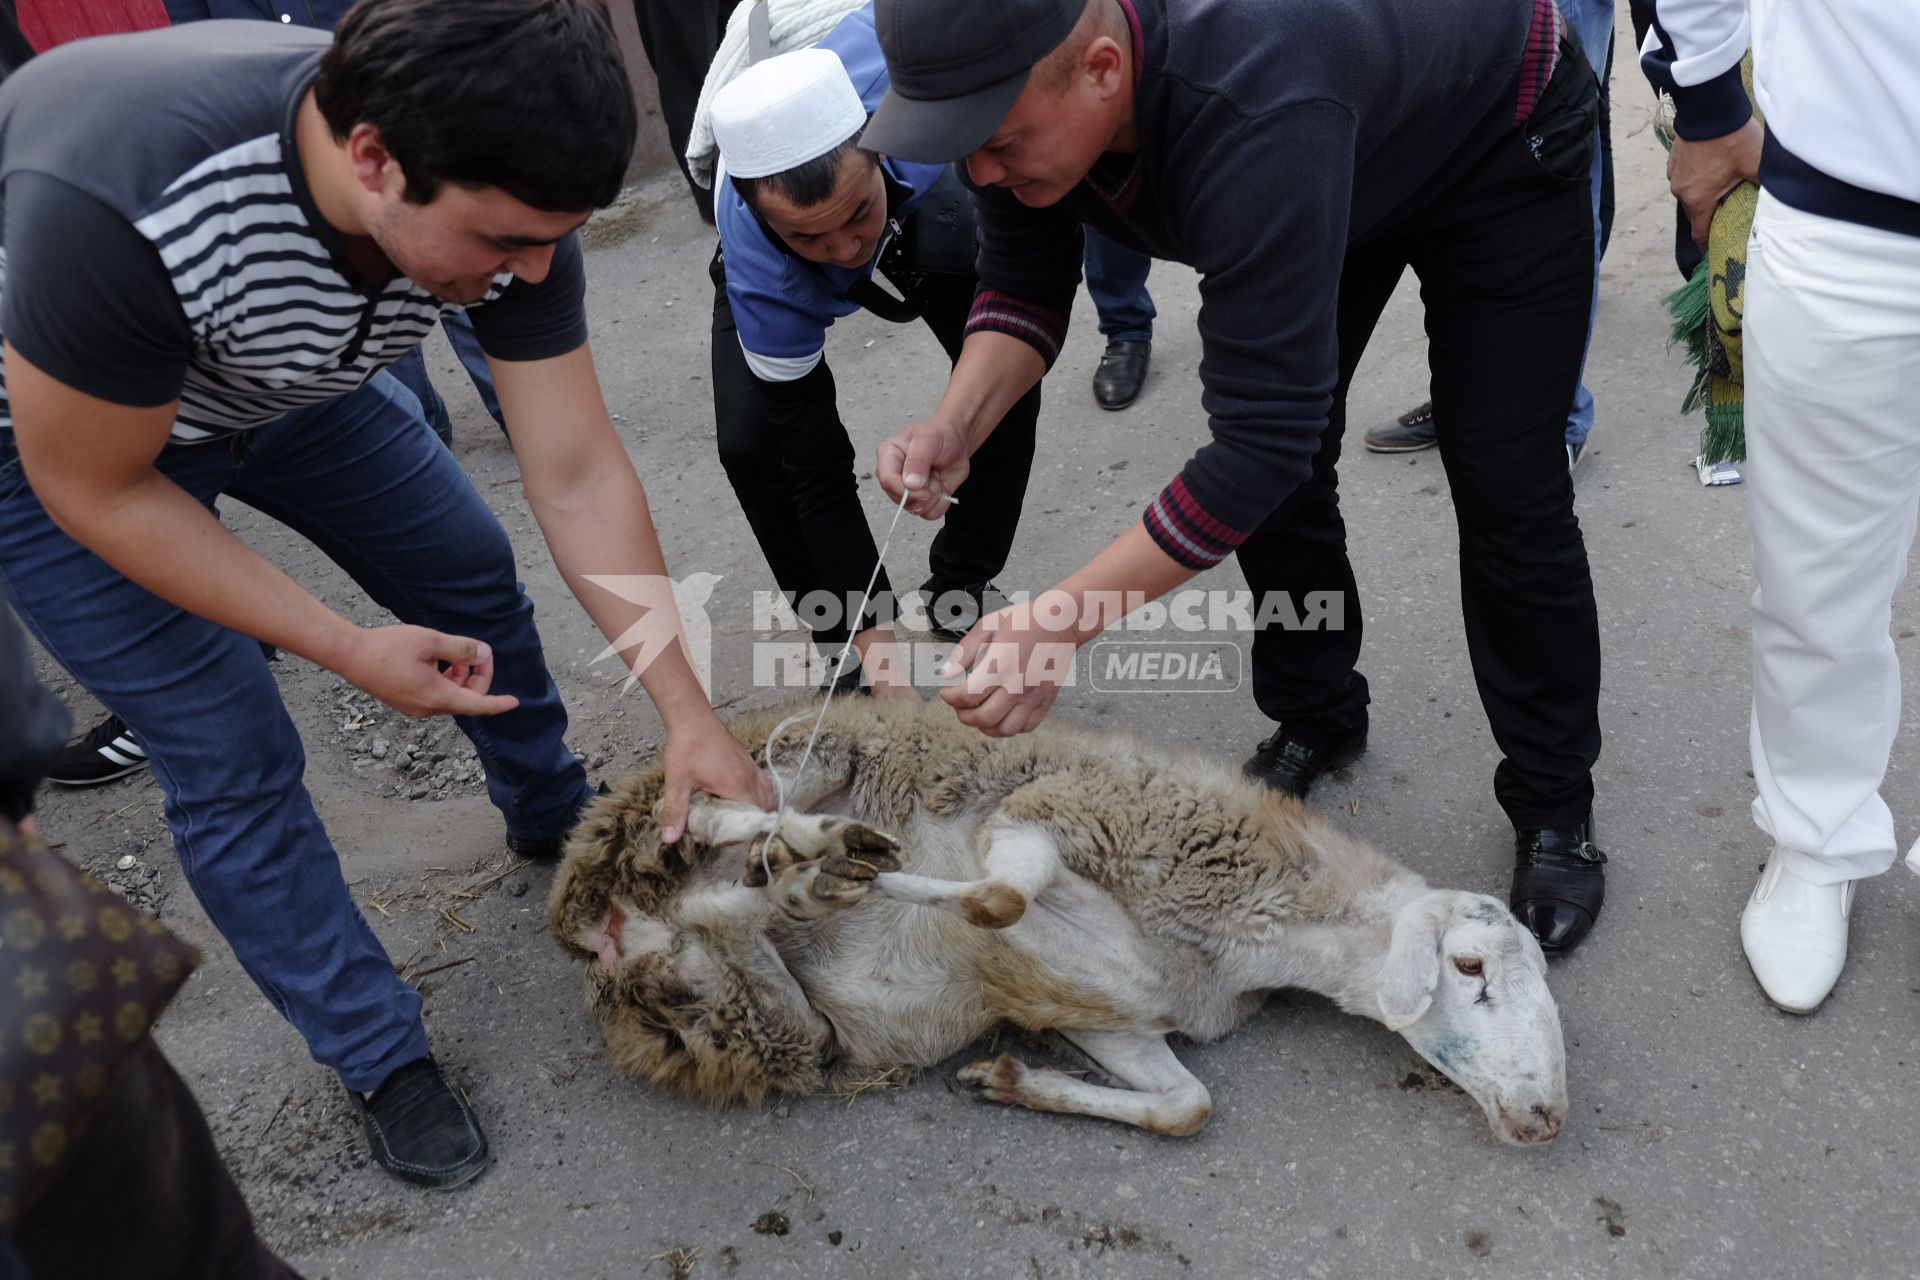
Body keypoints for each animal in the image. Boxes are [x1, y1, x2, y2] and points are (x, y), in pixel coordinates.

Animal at [549, 694, 1566, 1143]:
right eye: (1470, 967)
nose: (1547, 1118)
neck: (1241, 934)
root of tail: (593, 921)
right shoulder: (1044, 815)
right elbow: (994, 898)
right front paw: (859, 878)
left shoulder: (1119, 1010)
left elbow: (1186, 1107)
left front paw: (1009, 1080)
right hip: (808, 750)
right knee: (729, 817)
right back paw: (815, 850)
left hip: (768, 1025)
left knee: (720, 912)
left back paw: (801, 879)